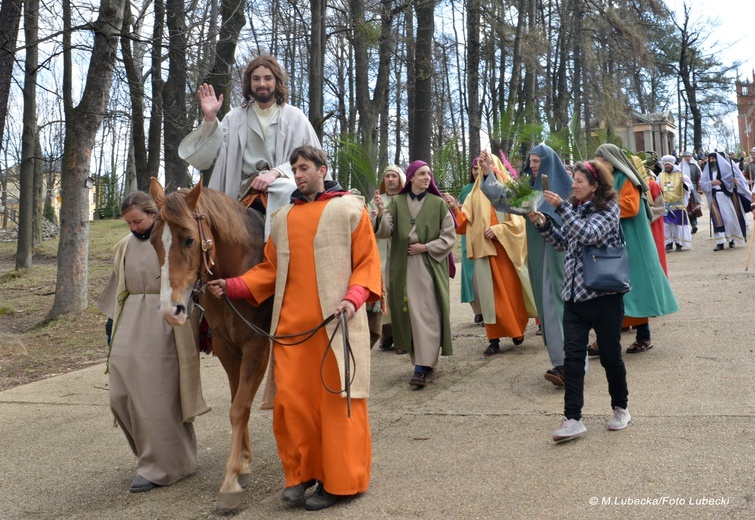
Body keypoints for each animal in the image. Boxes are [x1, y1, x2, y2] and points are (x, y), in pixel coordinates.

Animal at [149, 177, 274, 510]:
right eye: (153, 241)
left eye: (189, 239)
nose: (170, 309)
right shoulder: (227, 349)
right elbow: (237, 402)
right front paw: (243, 463)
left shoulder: (257, 346)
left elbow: (240, 407)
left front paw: (230, 480)